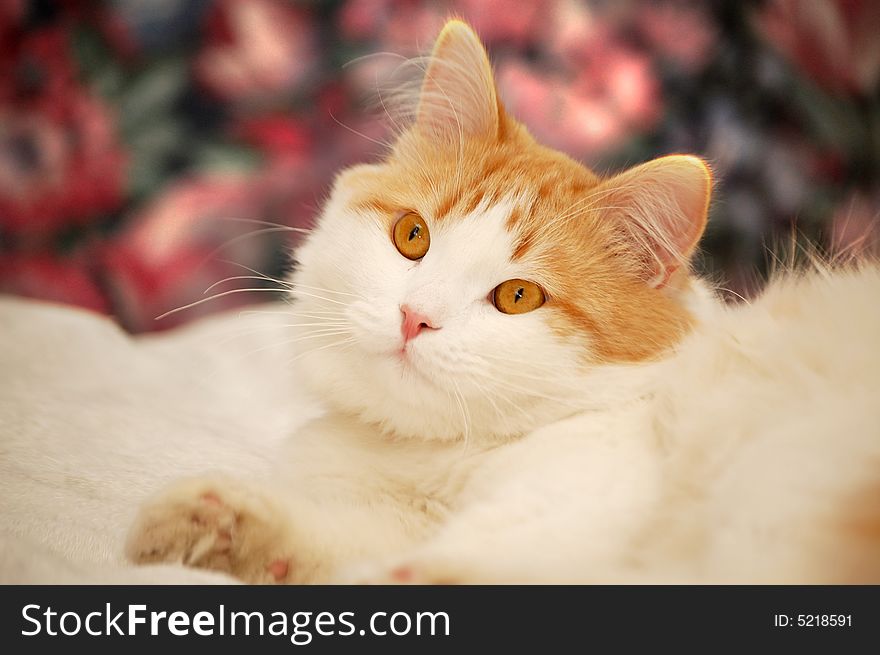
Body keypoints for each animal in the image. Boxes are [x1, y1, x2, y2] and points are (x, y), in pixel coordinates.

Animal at [124, 19, 880, 584]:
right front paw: (210, 523)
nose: (415, 317)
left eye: (518, 295)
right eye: (412, 235)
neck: (435, 457)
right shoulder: (392, 518)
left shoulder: (584, 500)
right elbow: (331, 542)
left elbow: (458, 563)